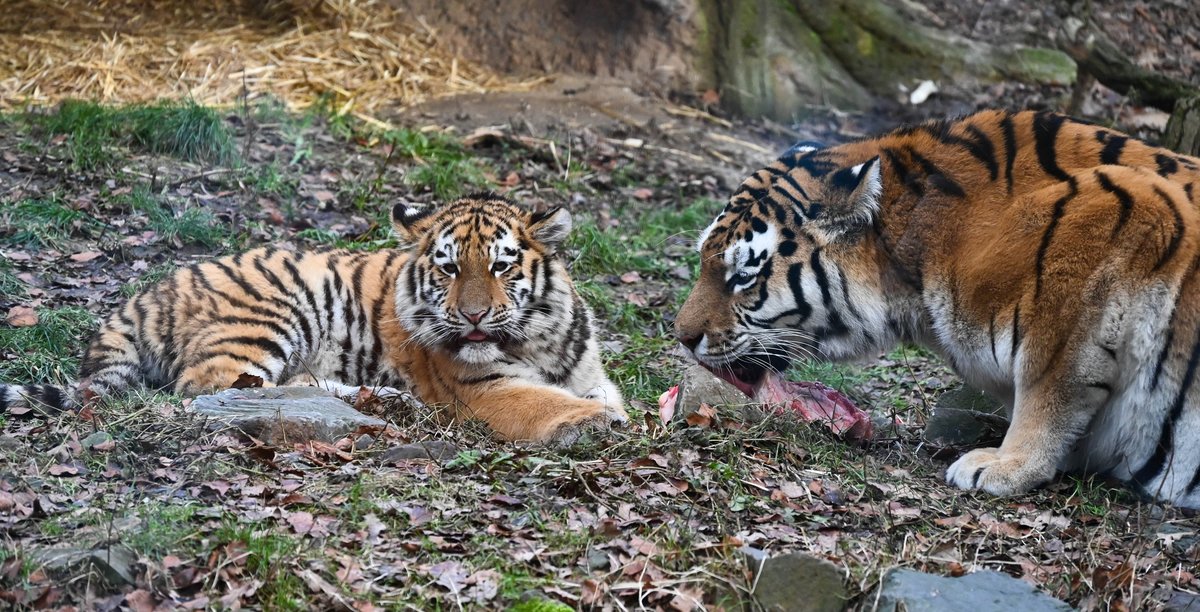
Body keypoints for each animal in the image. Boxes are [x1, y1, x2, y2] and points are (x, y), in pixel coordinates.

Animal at [1, 194, 628, 444]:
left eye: (500, 266)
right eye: (448, 268)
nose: (472, 315)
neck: (534, 340)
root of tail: (145, 293)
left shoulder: (588, 372)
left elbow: (601, 393)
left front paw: (610, 412)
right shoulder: (482, 389)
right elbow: (541, 401)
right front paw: (598, 423)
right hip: (268, 317)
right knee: (216, 390)